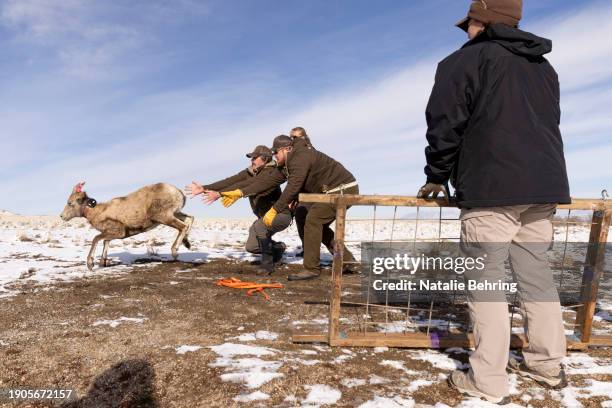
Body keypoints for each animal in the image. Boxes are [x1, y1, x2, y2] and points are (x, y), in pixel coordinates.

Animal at [59, 182, 194, 270]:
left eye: (70, 203)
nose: (62, 216)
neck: (97, 212)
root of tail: (178, 192)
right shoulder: (110, 234)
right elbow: (105, 242)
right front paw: (102, 263)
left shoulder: (118, 232)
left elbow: (96, 239)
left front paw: (90, 264)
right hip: (175, 214)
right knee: (189, 219)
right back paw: (187, 244)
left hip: (164, 217)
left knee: (183, 226)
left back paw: (175, 251)